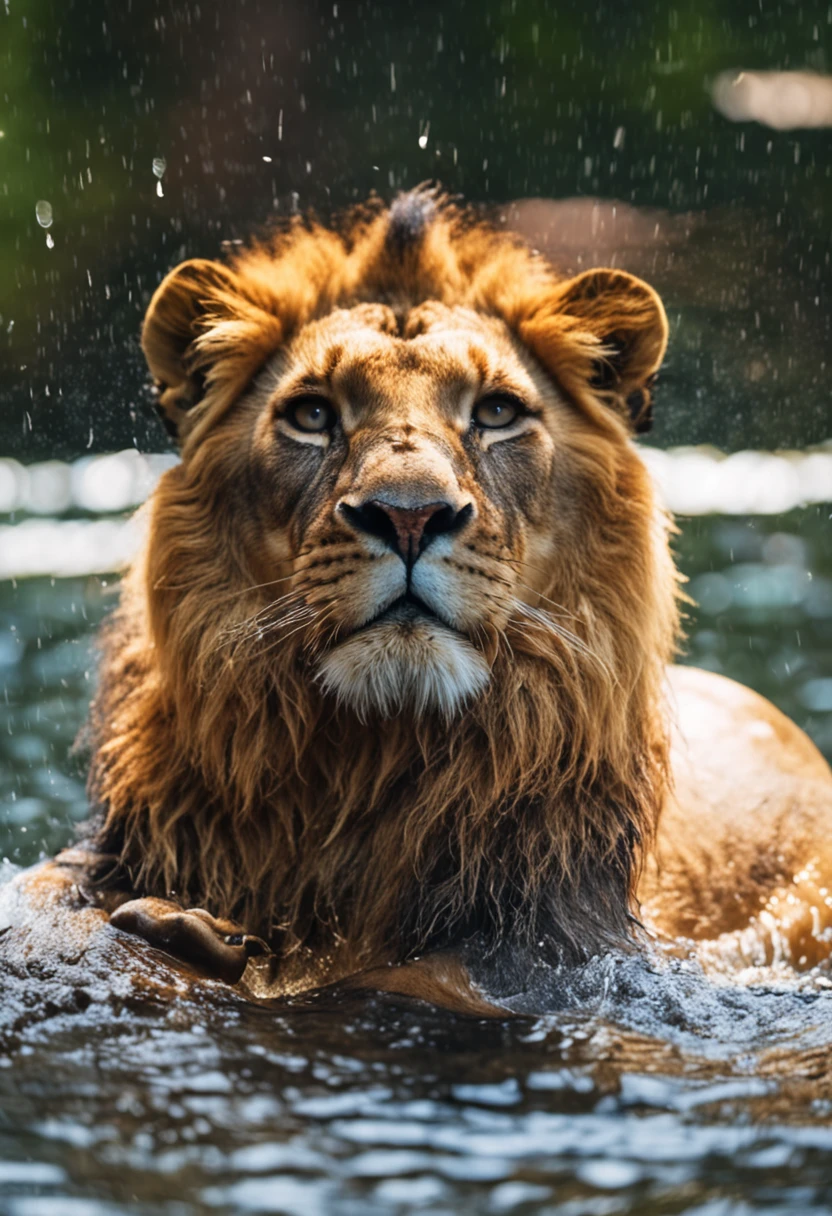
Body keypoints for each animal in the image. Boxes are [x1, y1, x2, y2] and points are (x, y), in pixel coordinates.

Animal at [4, 184, 832, 1011]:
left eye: (496, 412)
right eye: (312, 414)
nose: (408, 515)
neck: (376, 757)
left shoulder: (551, 950)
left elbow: (409, 977)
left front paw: (193, 945)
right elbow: (45, 906)